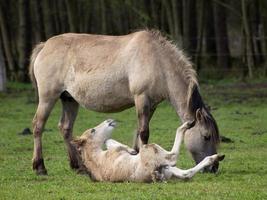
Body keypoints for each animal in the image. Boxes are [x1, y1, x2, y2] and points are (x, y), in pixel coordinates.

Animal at [29, 30, 221, 175]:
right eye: (206, 136)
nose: (214, 167)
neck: (157, 59)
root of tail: (45, 45)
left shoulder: (151, 105)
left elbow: (139, 131)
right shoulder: (141, 98)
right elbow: (144, 133)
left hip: (69, 99)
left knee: (65, 128)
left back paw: (78, 166)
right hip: (48, 98)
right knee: (38, 126)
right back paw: (40, 167)